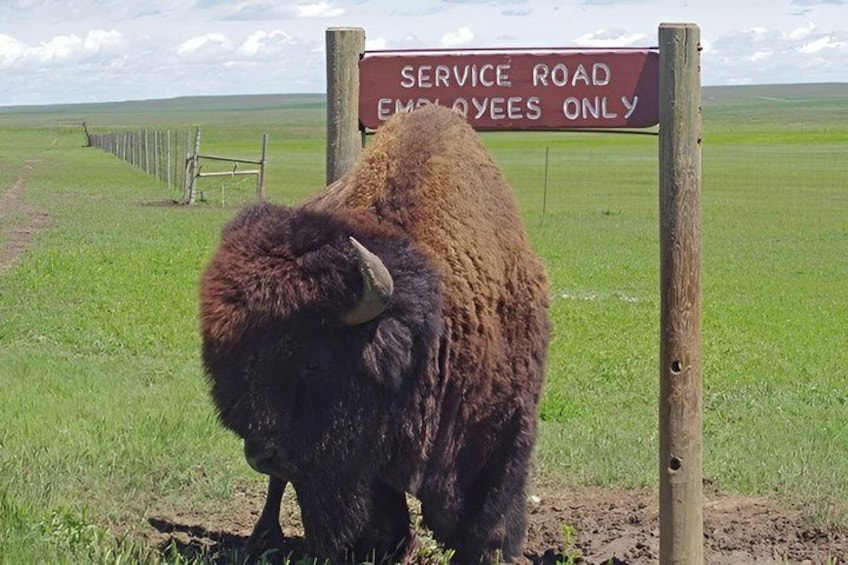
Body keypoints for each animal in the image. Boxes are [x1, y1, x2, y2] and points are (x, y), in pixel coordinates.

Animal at [199, 105, 550, 563]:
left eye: (314, 361)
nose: (260, 453)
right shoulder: (355, 460)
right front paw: (382, 547)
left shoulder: (505, 421)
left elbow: (493, 502)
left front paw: (493, 551)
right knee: (281, 489)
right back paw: (265, 537)